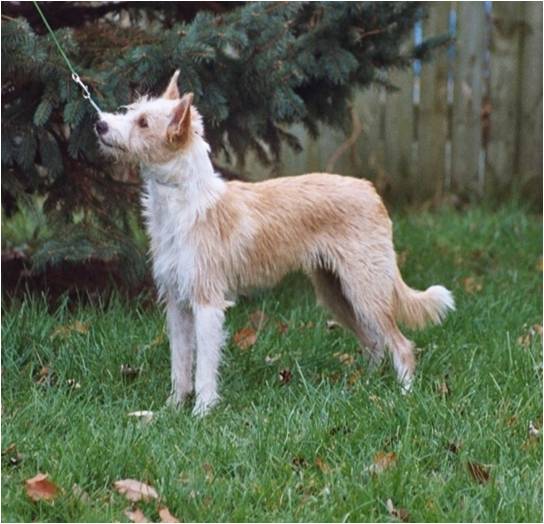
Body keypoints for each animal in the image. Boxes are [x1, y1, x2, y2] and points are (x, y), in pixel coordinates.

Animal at [94, 69, 454, 416]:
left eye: (143, 123)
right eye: (131, 111)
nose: (99, 124)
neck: (184, 202)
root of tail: (370, 190)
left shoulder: (207, 304)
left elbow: (205, 368)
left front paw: (202, 412)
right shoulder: (177, 305)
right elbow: (180, 365)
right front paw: (172, 409)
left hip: (365, 291)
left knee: (402, 345)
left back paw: (403, 396)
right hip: (337, 293)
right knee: (375, 344)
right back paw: (364, 389)